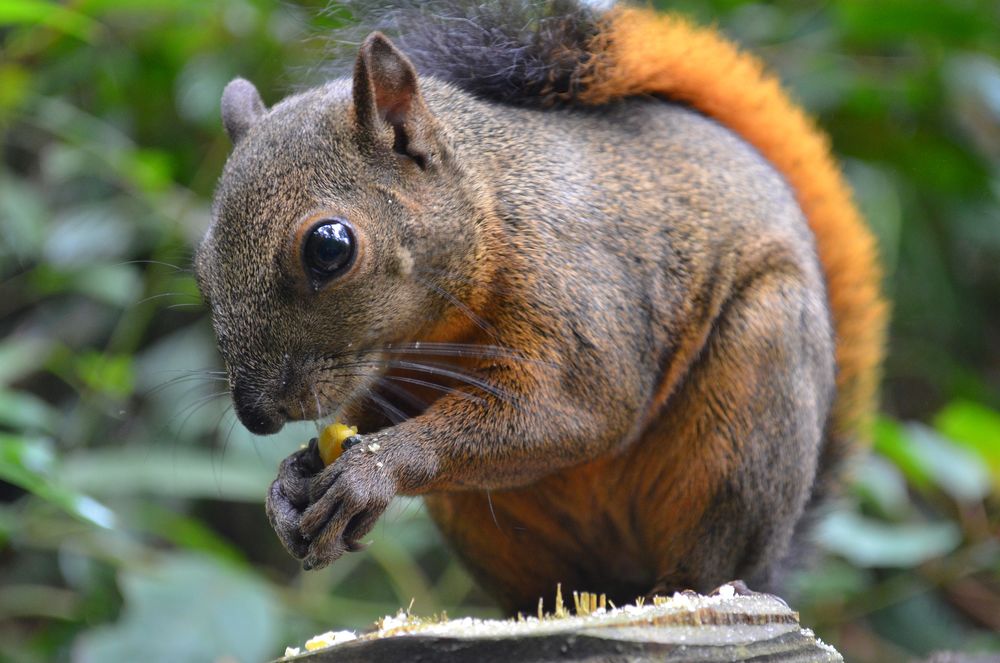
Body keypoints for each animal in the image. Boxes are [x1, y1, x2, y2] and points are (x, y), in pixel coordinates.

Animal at [194, 1, 887, 613]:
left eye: (329, 247)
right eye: (201, 268)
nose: (256, 417)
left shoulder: (580, 297)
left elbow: (577, 410)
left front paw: (375, 469)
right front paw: (290, 480)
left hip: (747, 409)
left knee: (714, 553)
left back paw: (688, 588)